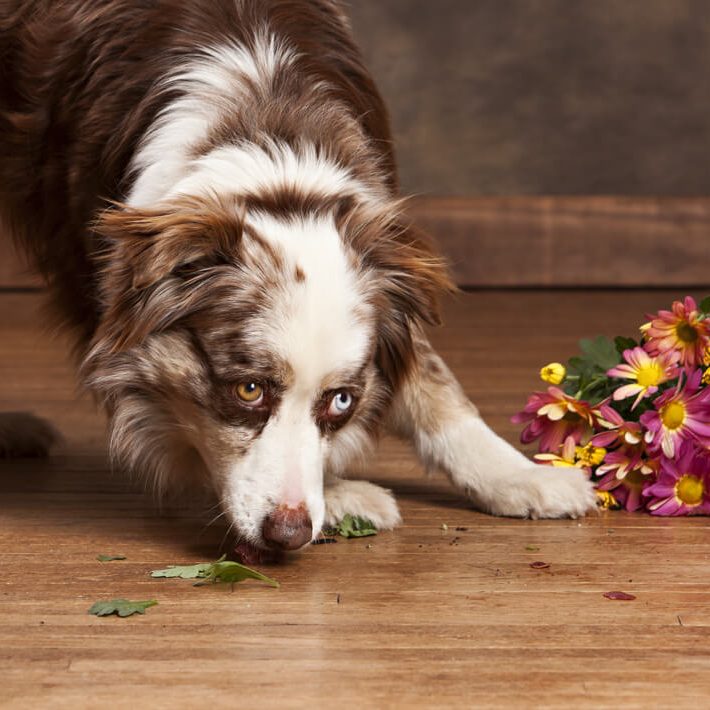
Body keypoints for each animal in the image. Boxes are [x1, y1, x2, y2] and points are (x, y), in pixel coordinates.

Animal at [1, 2, 600, 564]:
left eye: (342, 401)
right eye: (248, 389)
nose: (288, 533)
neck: (271, 156)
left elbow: (433, 381)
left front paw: (517, 475)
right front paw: (338, 495)